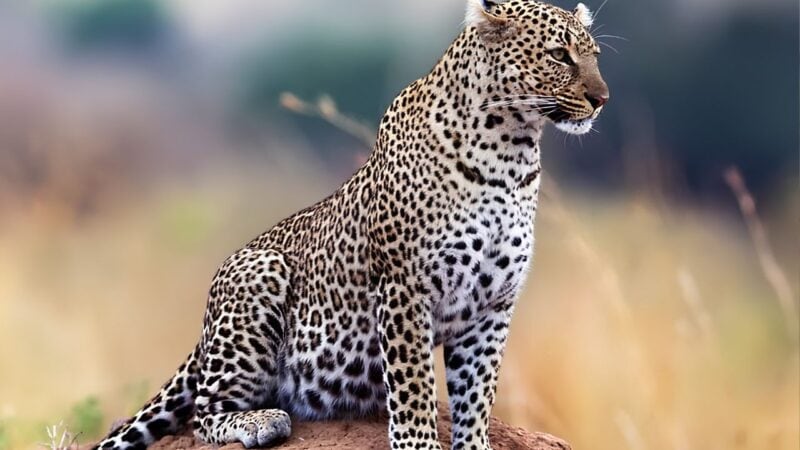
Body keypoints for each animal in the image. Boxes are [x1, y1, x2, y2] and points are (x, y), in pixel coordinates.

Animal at [94, 0, 608, 449]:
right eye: (559, 54)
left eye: (594, 56)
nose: (601, 98)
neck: (511, 153)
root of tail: (202, 331)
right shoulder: (404, 287)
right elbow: (414, 385)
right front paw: (419, 444)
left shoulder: (494, 303)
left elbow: (477, 391)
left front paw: (474, 442)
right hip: (259, 274)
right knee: (205, 414)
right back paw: (261, 422)